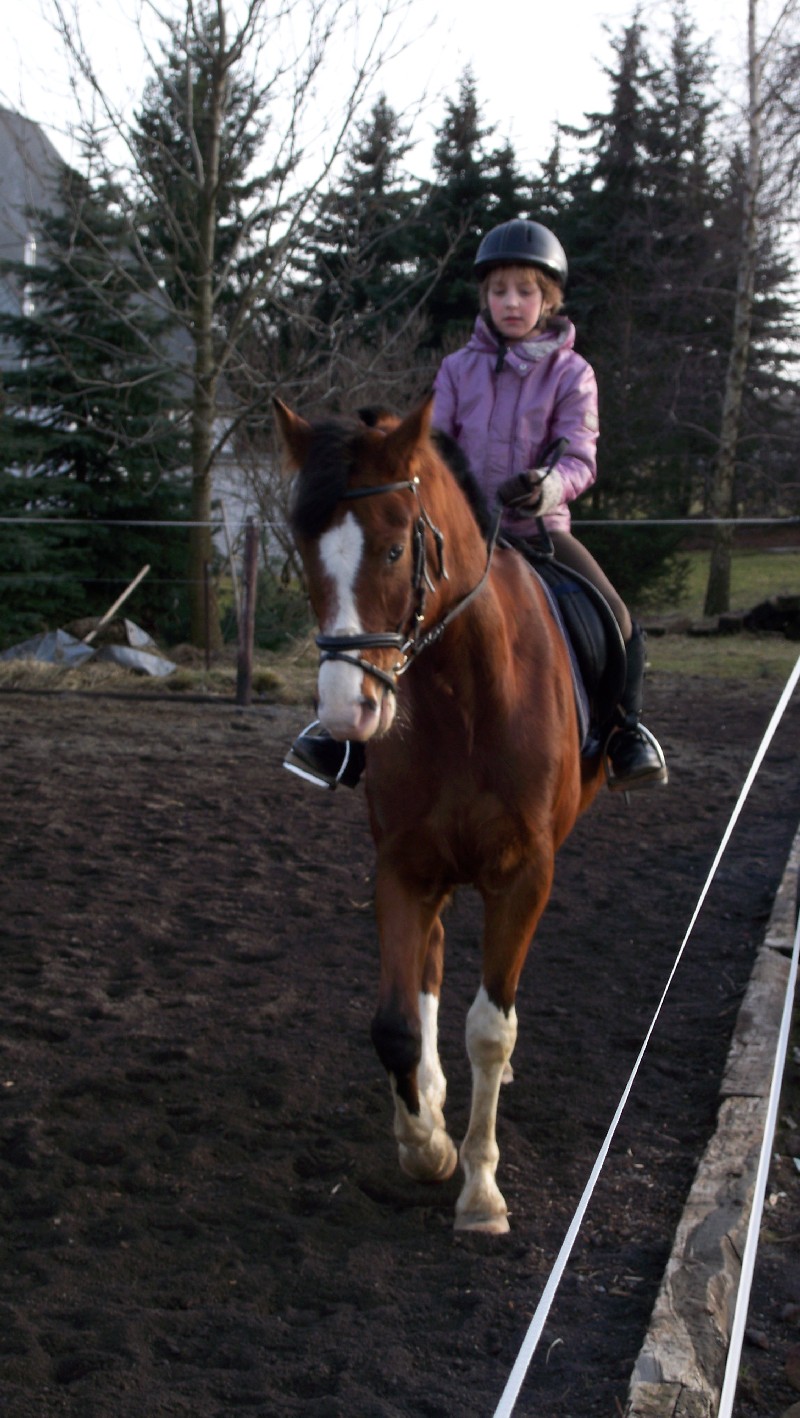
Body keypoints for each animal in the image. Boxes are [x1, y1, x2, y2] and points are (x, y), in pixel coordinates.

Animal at [274, 395, 606, 1234]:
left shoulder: (523, 876)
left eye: (396, 550)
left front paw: (481, 1193)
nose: (346, 712)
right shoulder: (404, 865)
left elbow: (490, 1029)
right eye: (304, 551)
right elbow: (395, 1022)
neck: (465, 694)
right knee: (428, 968)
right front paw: (425, 1142)